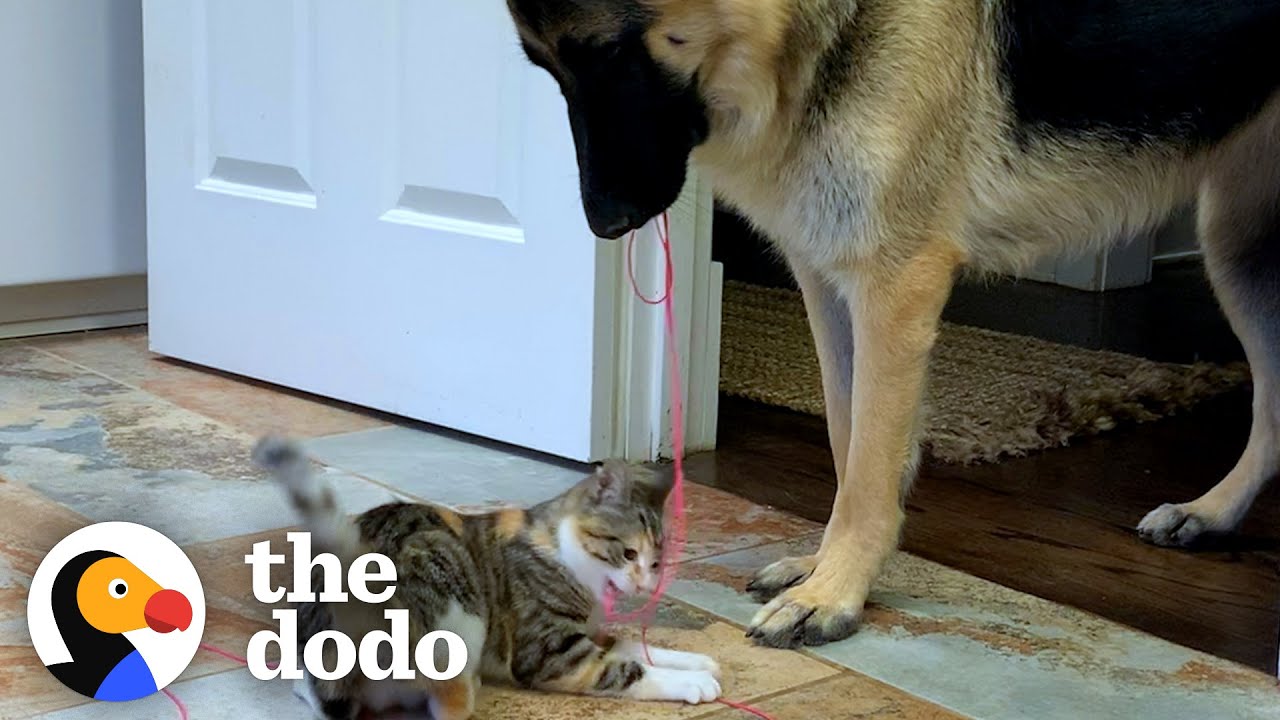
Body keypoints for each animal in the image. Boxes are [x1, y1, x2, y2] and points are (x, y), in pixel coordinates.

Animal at [252, 435, 721, 717]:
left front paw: (696, 660)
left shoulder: (589, 631)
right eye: (627, 553)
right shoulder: (548, 651)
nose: (644, 585)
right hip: (458, 607)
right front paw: (693, 682)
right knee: (446, 703)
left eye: (657, 562)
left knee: (305, 688)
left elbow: (630, 644)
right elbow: (625, 670)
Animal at [504, 0, 1280, 648]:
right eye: (545, 67)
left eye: (608, 53)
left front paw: (835, 592)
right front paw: (826, 567)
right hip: (1239, 252)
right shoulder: (829, 279)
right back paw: (1212, 512)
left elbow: (871, 463)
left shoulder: (893, 286)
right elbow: (849, 443)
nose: (606, 226)